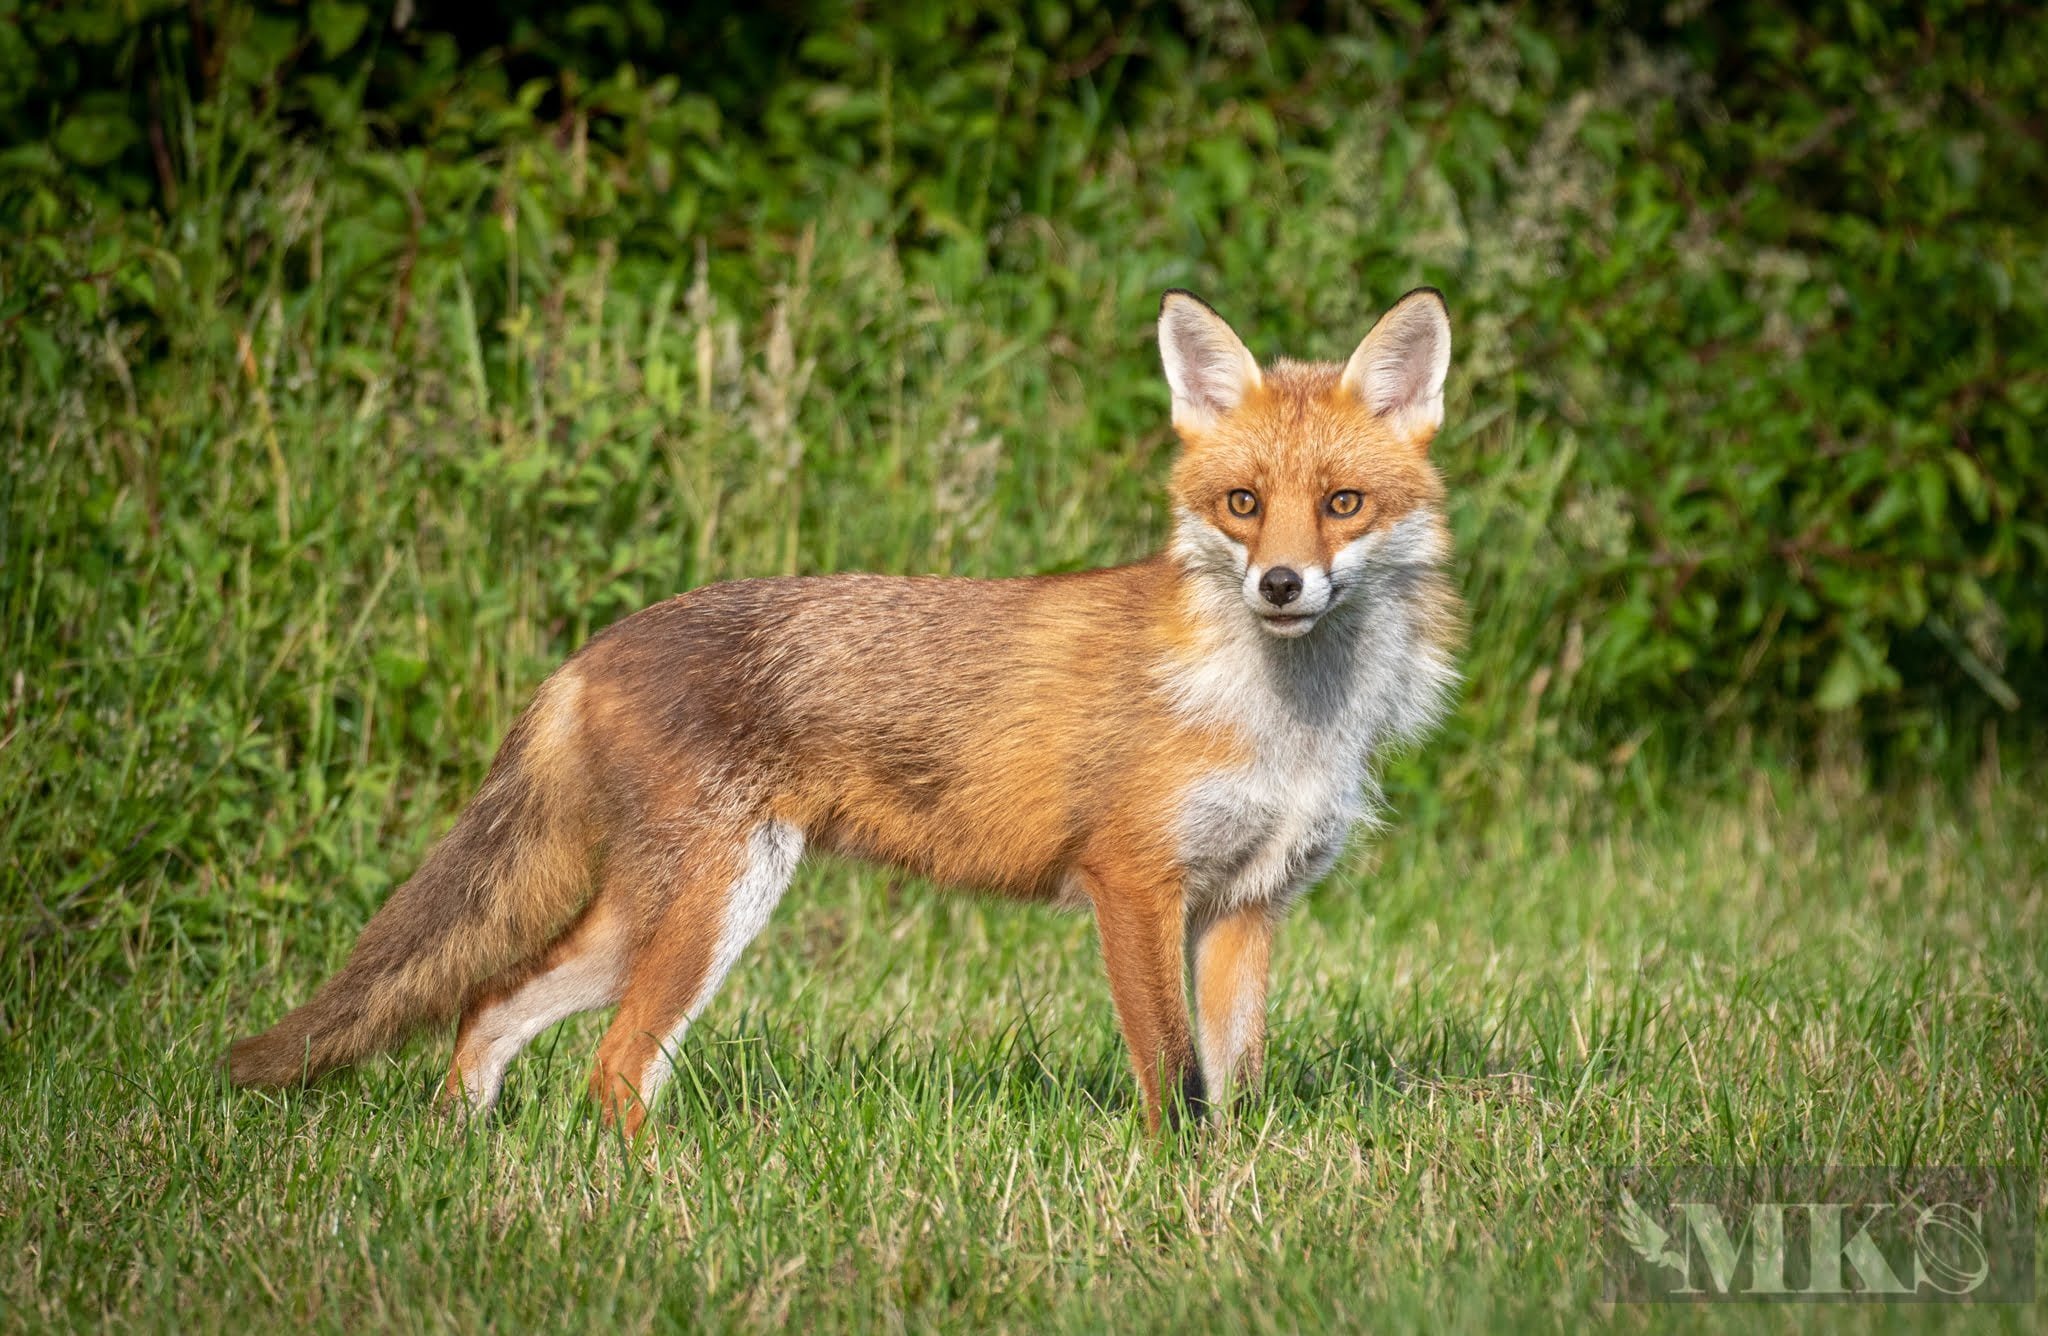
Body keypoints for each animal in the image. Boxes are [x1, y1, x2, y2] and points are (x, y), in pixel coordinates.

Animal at [228, 288, 1462, 1136]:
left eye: (1342, 503)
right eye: (1242, 504)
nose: (1281, 585)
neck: (1283, 716)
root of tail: (593, 648)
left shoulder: (1246, 906)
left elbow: (1234, 1084)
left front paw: (1228, 1181)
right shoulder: (1133, 884)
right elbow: (1172, 1072)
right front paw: (1170, 1185)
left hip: (651, 915)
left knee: (488, 1005)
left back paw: (468, 1147)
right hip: (712, 904)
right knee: (613, 1067)